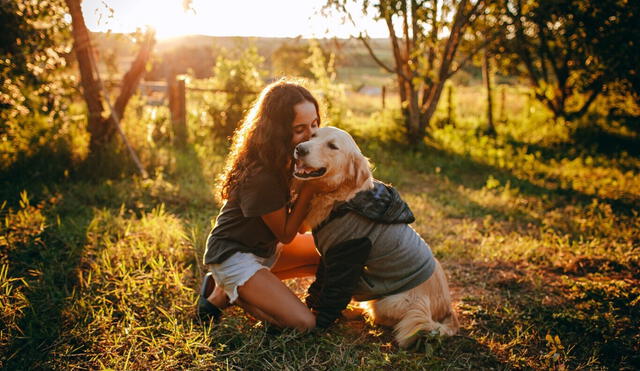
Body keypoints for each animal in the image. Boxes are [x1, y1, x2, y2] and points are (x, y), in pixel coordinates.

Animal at [292, 127, 458, 348]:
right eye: (312, 136)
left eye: (333, 146)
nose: (299, 149)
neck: (342, 200)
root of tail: (447, 309)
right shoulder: (328, 258)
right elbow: (319, 286)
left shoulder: (348, 254)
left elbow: (332, 294)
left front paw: (319, 322)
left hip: (391, 302)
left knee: (386, 318)